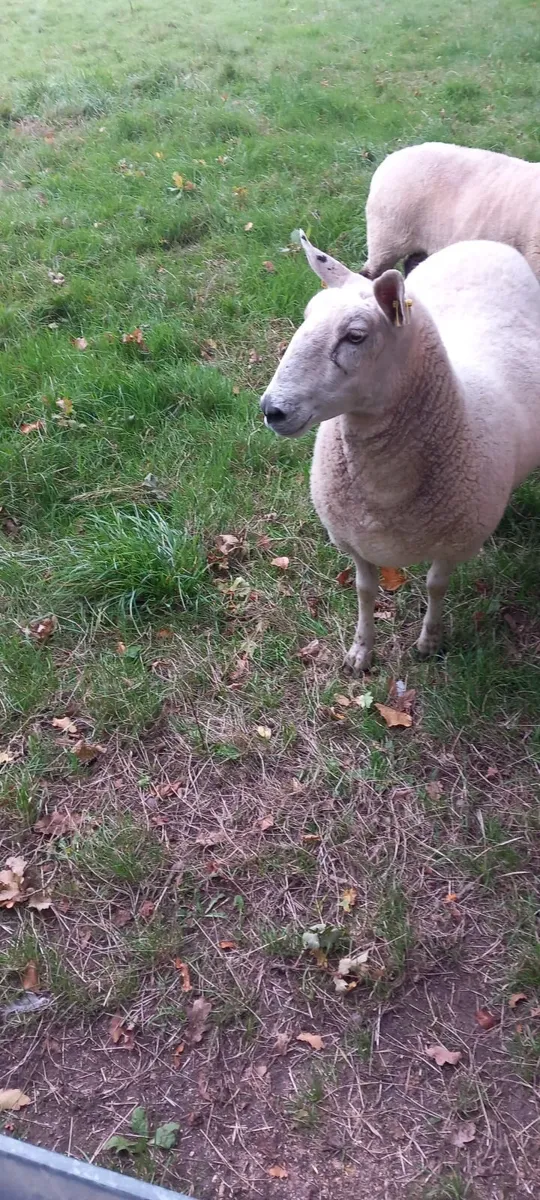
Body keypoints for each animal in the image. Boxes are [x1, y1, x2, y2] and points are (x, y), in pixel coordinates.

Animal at [260, 230, 540, 671]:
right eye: (306, 316)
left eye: (355, 336)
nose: (272, 410)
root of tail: (482, 241)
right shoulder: (353, 539)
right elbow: (364, 590)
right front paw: (361, 650)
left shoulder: (453, 544)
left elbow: (436, 585)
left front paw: (429, 642)